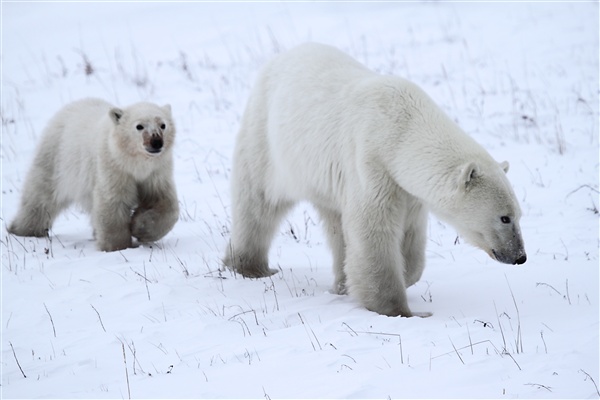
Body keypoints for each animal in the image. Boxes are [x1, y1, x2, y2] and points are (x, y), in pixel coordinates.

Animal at [7, 98, 178, 252]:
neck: (133, 163)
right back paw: (23, 230)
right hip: (55, 158)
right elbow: (112, 203)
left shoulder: (155, 173)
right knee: (40, 197)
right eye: (139, 126)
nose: (156, 142)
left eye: (163, 125)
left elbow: (163, 202)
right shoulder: (113, 168)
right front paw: (118, 247)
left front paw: (140, 227)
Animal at [225, 41, 524, 316]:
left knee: (335, 223)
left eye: (518, 215)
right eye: (504, 217)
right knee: (258, 204)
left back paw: (341, 282)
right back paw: (250, 267)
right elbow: (373, 230)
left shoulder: (406, 188)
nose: (520, 256)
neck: (402, 130)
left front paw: (402, 276)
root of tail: (281, 56)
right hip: (268, 141)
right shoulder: (371, 162)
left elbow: (409, 236)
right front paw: (397, 309)